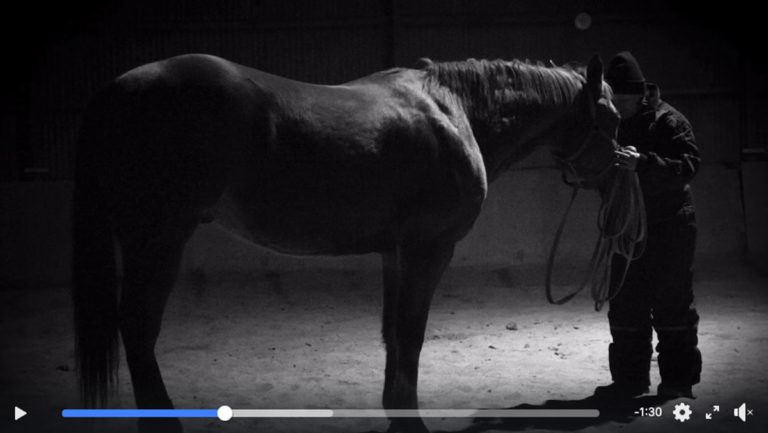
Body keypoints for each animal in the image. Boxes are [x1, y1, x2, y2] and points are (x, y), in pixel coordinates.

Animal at [72, 53, 620, 433]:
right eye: (612, 120)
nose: (620, 178)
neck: (454, 112)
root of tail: (112, 93)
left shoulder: (394, 253)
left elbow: (393, 334)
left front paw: (396, 414)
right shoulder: (428, 250)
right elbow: (412, 334)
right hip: (158, 238)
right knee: (139, 330)